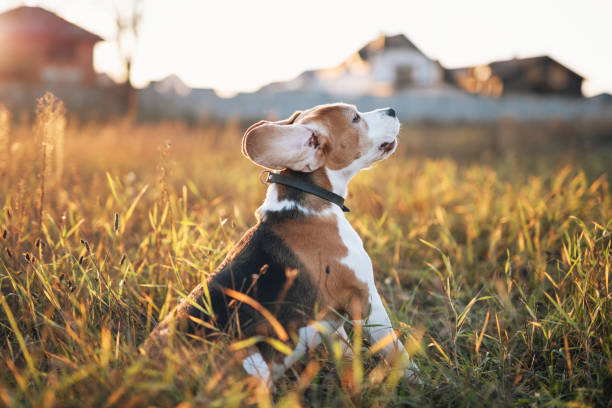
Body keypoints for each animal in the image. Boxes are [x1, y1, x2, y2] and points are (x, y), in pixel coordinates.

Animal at [144, 102, 420, 386]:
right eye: (355, 118)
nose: (392, 110)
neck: (310, 200)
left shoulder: (330, 321)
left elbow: (344, 353)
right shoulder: (366, 299)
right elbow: (396, 350)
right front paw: (416, 381)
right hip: (252, 361)